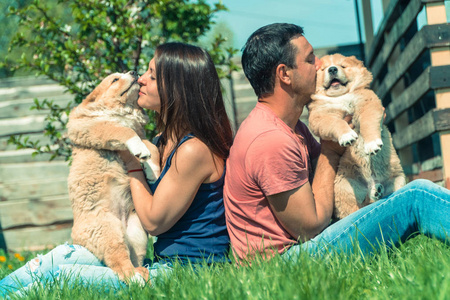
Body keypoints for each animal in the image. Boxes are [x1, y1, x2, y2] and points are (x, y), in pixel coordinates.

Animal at [66, 71, 159, 284]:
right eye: (115, 80)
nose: (133, 72)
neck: (124, 111)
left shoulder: (143, 134)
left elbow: (152, 146)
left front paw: (153, 171)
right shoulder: (99, 128)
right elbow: (125, 131)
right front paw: (141, 151)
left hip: (137, 234)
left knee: (133, 260)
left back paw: (142, 275)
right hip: (108, 231)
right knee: (120, 264)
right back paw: (136, 279)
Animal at [308, 53, 406, 218]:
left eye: (342, 66)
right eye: (323, 69)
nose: (332, 69)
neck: (341, 98)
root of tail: (371, 182)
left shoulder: (368, 104)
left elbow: (367, 124)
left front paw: (372, 144)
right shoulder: (321, 117)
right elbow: (337, 123)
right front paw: (347, 136)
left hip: (399, 181)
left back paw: (378, 191)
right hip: (344, 186)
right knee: (359, 205)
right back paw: (374, 193)